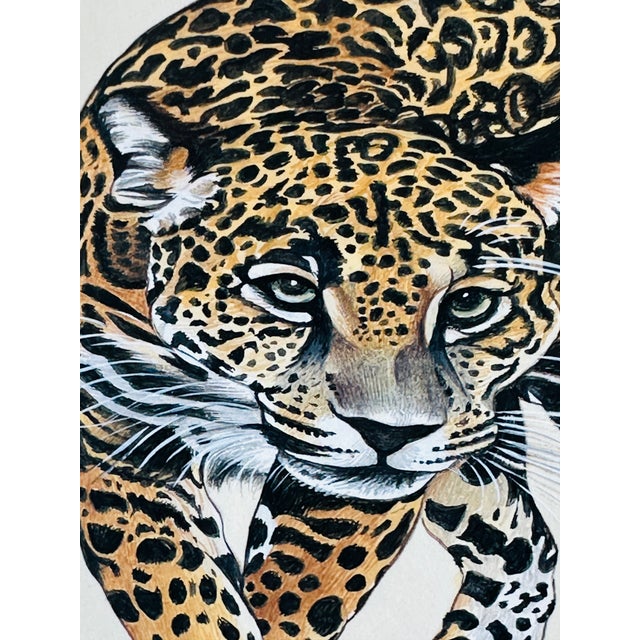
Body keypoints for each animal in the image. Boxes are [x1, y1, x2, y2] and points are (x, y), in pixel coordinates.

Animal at [80, 1, 560, 639]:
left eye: (468, 304)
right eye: (289, 289)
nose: (391, 435)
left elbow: (296, 595)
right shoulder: (114, 446)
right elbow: (183, 600)